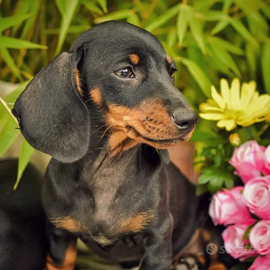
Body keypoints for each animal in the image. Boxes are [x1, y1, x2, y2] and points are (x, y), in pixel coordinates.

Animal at [12, 21, 228, 270]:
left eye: (171, 73)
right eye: (125, 72)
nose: (191, 120)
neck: (107, 168)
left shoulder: (158, 235)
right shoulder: (60, 237)